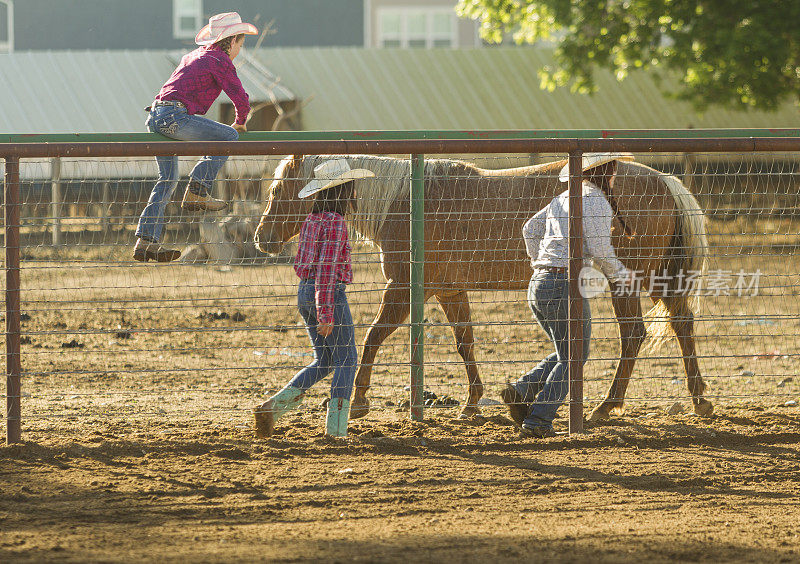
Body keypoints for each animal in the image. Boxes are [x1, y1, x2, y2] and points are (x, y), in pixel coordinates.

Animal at [256, 154, 712, 418]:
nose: (262, 239)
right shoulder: (448, 291)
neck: (405, 201)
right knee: (682, 327)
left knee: (633, 334)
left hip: (628, 281)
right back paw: (699, 400)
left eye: (279, 188)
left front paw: (360, 401)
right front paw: (473, 402)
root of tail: (664, 179)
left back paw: (608, 404)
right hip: (660, 281)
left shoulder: (402, 289)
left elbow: (373, 337)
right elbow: (465, 342)